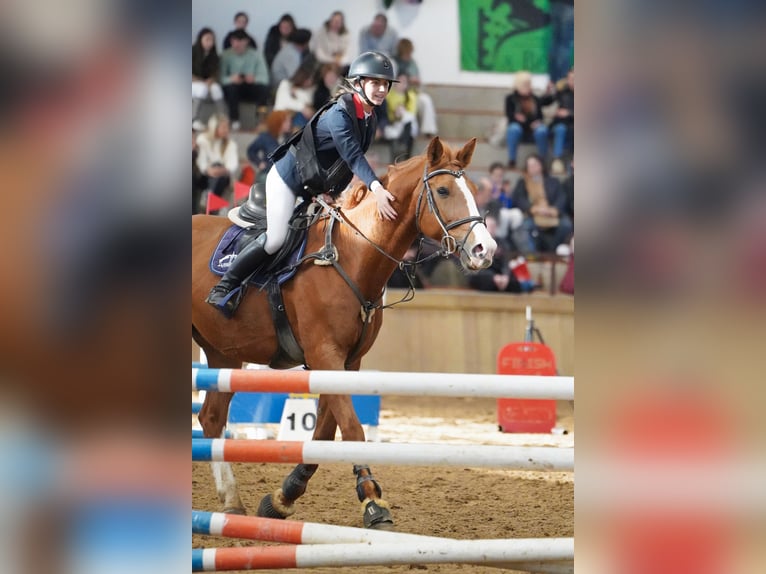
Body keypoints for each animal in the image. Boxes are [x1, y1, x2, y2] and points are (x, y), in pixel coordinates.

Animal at [192, 138, 498, 532]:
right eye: (443, 190)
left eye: (473, 189)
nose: (485, 250)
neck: (352, 254)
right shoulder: (325, 355)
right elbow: (352, 429)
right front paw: (373, 502)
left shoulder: (346, 361)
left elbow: (325, 430)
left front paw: (283, 497)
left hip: (223, 351)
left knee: (212, 418)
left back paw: (231, 501)